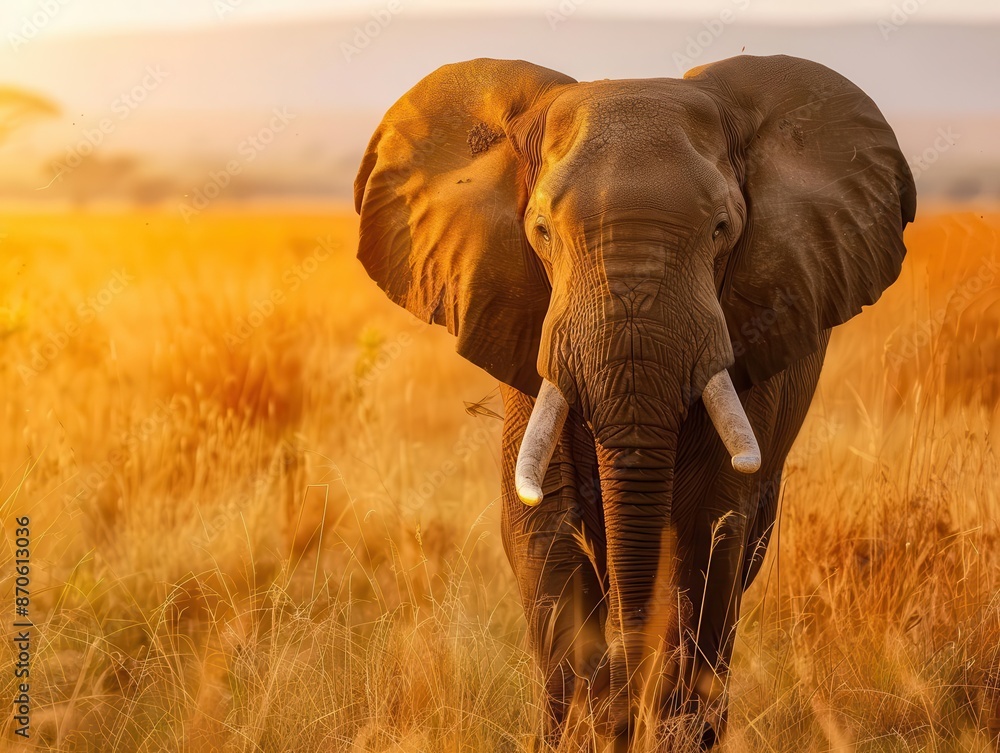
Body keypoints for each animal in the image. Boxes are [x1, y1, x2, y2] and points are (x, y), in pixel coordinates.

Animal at [353, 55, 916, 750]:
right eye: (541, 231)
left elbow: (709, 531)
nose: (624, 689)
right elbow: (544, 524)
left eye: (723, 228)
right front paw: (586, 730)